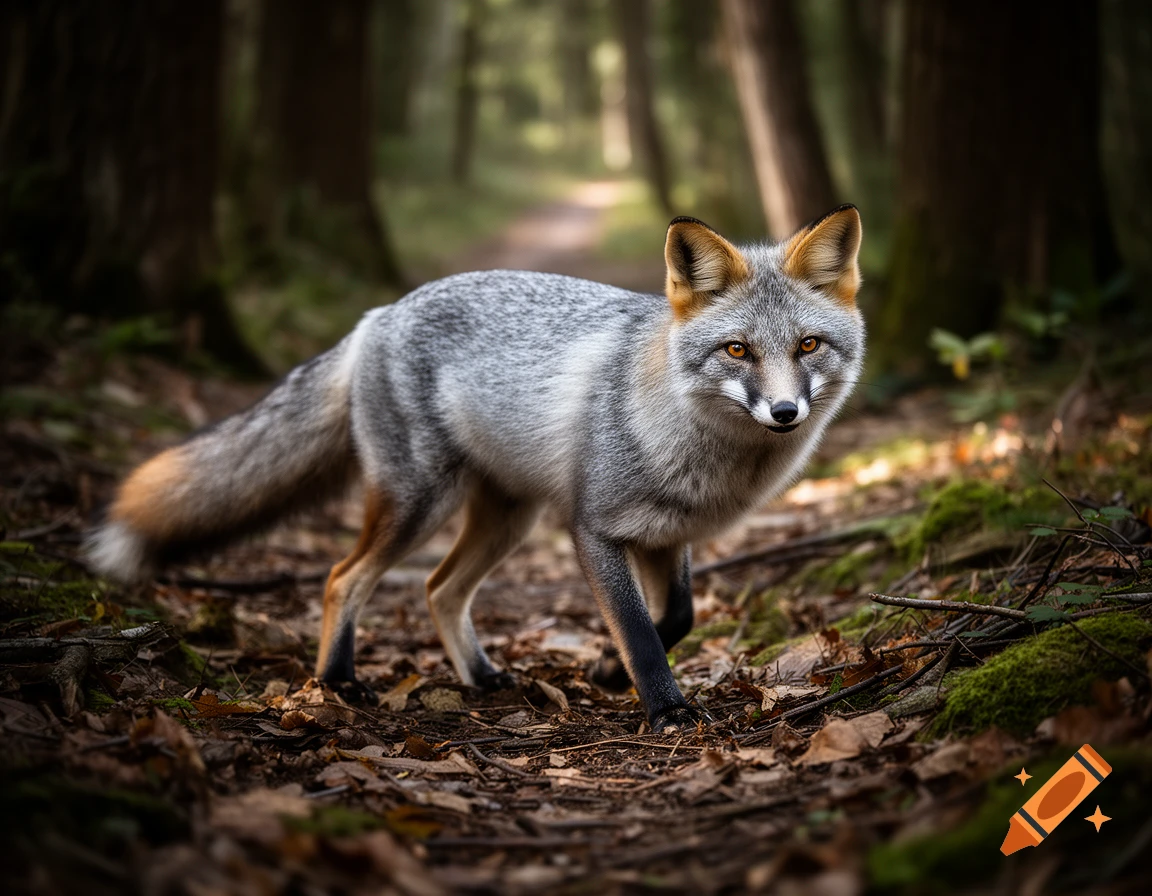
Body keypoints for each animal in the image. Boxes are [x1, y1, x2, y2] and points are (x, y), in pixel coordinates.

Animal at [86, 205, 865, 732]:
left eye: (808, 345)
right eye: (737, 351)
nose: (785, 412)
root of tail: (379, 313)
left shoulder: (667, 536)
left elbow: (676, 617)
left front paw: (606, 671)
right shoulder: (594, 528)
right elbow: (643, 635)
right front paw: (664, 709)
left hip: (506, 521)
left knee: (438, 589)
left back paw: (482, 677)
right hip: (419, 503)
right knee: (344, 578)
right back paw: (337, 684)